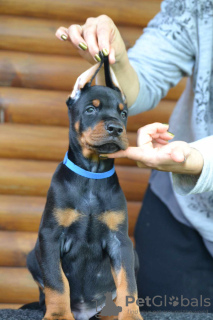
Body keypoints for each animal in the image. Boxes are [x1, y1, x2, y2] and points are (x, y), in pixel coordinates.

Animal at [26, 54, 143, 320]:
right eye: (90, 109)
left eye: (123, 113)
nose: (116, 128)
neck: (92, 175)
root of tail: (86, 311)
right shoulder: (50, 235)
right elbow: (57, 281)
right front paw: (58, 315)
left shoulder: (120, 241)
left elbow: (127, 282)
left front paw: (131, 315)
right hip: (32, 255)